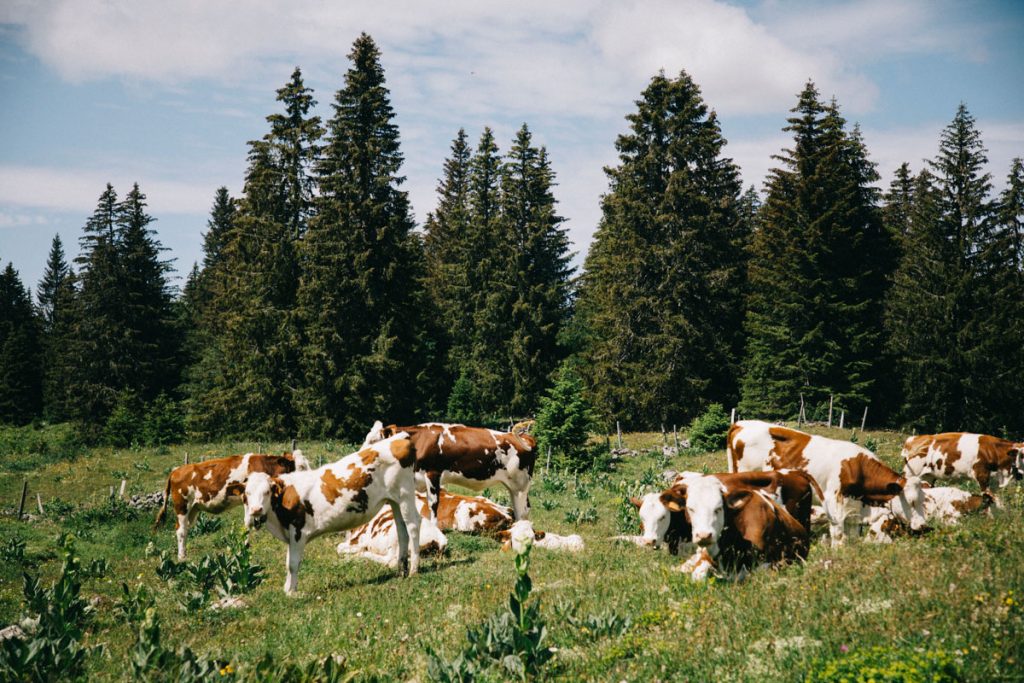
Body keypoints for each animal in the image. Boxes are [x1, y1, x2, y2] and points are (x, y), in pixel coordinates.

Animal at [154, 451, 309, 560]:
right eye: (301, 467)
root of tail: (176, 470)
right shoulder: (247, 499)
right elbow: (248, 523)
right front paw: (245, 546)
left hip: (193, 509)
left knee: (185, 529)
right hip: (182, 506)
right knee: (180, 530)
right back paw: (181, 557)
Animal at [243, 434, 420, 595]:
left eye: (267, 492)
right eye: (247, 494)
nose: (256, 510)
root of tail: (400, 438)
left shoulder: (298, 531)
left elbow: (293, 564)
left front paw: (292, 593)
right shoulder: (290, 534)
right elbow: (288, 562)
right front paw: (287, 588)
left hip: (405, 494)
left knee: (413, 526)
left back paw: (413, 570)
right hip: (395, 501)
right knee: (402, 530)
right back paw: (401, 570)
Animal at [362, 421, 537, 521]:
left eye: (373, 440)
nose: (361, 455)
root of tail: (525, 437)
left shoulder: (433, 473)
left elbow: (433, 504)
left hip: (520, 485)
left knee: (523, 510)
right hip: (514, 486)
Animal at [728, 420, 927, 544]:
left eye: (923, 501)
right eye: (911, 502)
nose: (924, 526)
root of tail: (741, 423)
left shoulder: (853, 509)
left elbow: (851, 536)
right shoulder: (834, 502)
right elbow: (838, 535)